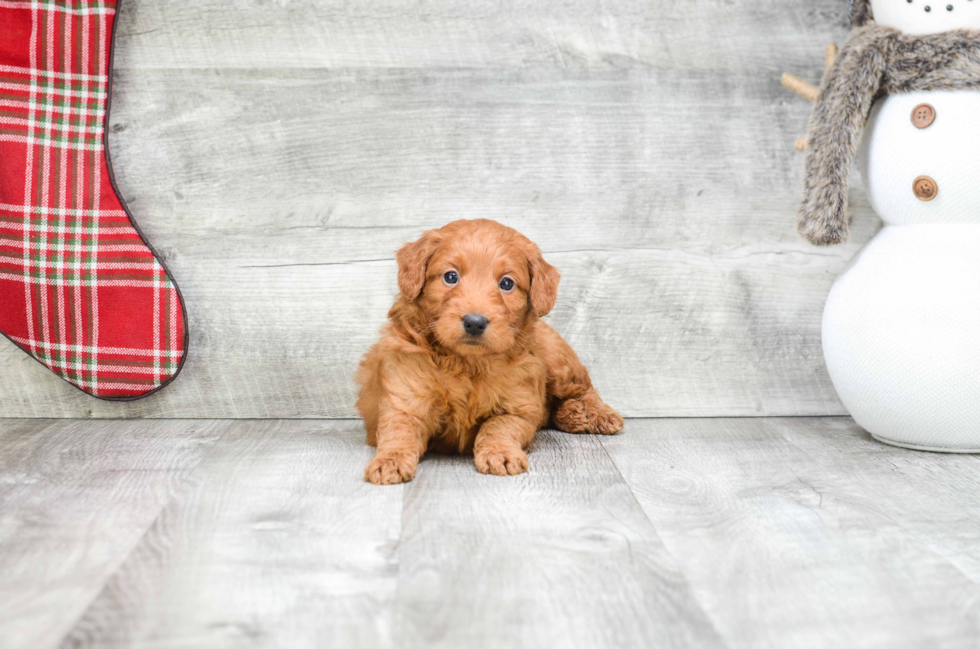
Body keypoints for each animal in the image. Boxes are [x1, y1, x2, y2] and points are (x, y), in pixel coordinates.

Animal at [356, 220, 624, 484]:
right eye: (450, 276)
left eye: (506, 283)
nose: (475, 322)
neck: (467, 362)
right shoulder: (405, 399)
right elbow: (399, 431)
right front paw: (389, 461)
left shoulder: (519, 407)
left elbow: (498, 426)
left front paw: (500, 453)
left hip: (557, 360)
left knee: (584, 388)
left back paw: (593, 415)